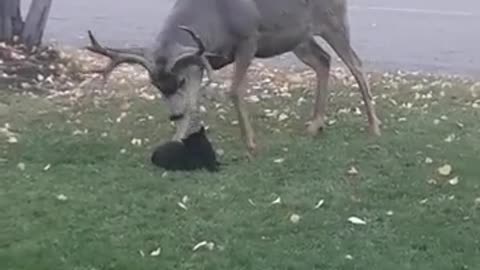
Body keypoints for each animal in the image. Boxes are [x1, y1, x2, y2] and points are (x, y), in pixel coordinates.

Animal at [84, 0, 380, 158]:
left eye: (179, 81)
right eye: (156, 85)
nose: (173, 116)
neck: (214, 20)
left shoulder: (249, 39)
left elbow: (234, 90)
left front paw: (250, 143)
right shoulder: (200, 61)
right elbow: (193, 103)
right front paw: (176, 141)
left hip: (333, 21)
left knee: (355, 64)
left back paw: (374, 126)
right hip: (297, 38)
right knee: (323, 61)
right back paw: (315, 124)